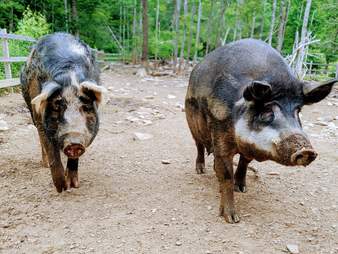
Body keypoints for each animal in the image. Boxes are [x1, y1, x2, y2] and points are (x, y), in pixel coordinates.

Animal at [21, 33, 105, 192]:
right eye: (57, 106)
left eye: (86, 107)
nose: (74, 142)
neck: (69, 74)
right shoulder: (40, 116)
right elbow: (49, 146)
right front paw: (62, 188)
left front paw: (74, 185)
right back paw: (45, 164)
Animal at [186, 38, 336, 223]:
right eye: (266, 112)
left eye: (298, 111)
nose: (306, 150)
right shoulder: (220, 133)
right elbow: (226, 174)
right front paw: (232, 219)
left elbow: (244, 163)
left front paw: (242, 189)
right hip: (192, 124)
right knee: (199, 146)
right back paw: (200, 170)